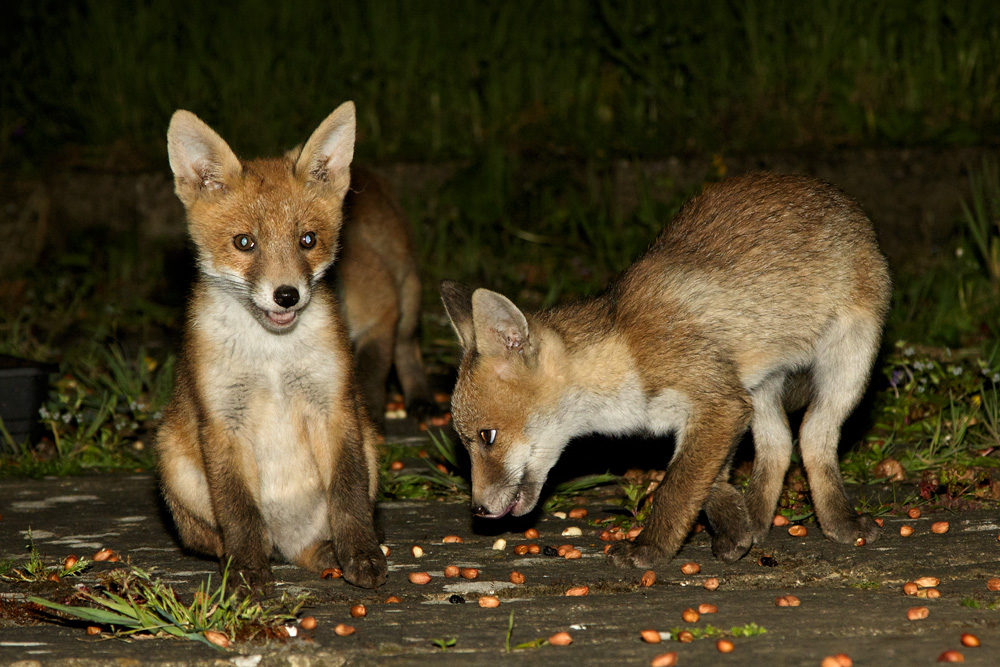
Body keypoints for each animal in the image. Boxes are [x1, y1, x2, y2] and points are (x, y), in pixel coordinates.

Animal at [156, 101, 387, 589]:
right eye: (245, 242)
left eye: (307, 240)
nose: (286, 295)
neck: (272, 361)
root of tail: (286, 544)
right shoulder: (222, 421)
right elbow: (239, 510)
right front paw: (247, 572)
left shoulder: (335, 407)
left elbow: (349, 498)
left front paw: (361, 554)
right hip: (170, 457)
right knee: (214, 536)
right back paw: (234, 559)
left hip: (371, 443)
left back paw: (326, 554)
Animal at [440, 172, 891, 568]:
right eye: (467, 442)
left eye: (487, 436)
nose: (478, 510)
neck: (625, 353)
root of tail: (829, 191)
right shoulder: (719, 406)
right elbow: (706, 482)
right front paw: (735, 526)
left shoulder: (718, 402)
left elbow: (675, 488)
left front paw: (650, 549)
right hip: (761, 387)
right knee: (778, 446)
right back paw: (759, 518)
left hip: (848, 362)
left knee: (814, 437)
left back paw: (841, 522)